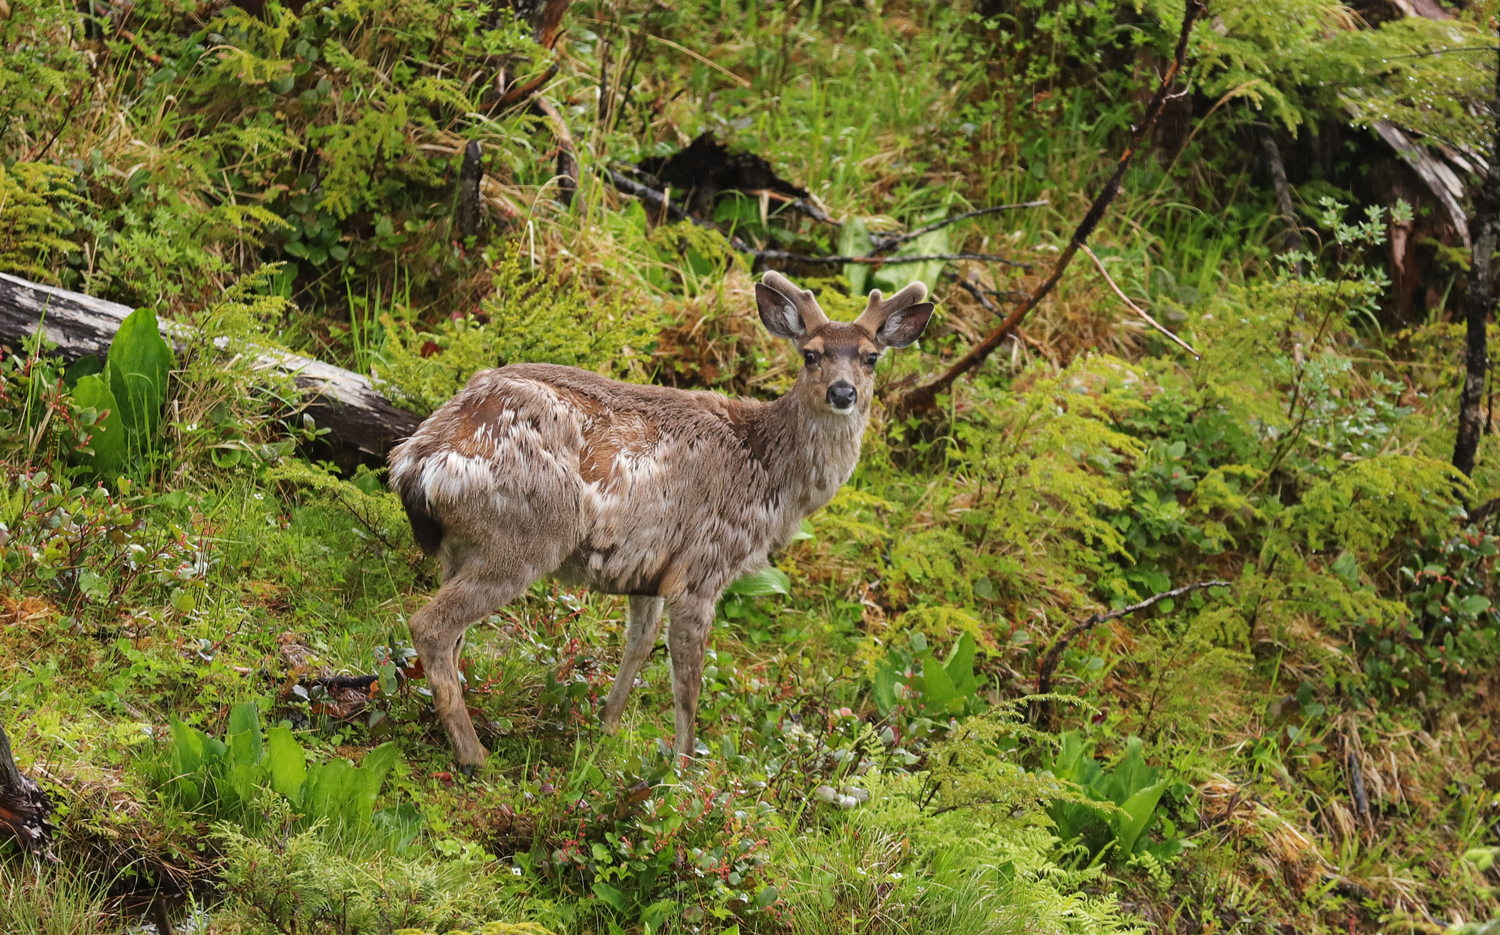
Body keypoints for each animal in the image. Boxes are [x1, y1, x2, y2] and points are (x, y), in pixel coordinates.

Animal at [390, 270, 924, 774]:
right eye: (811, 354)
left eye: (871, 357)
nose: (843, 391)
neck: (767, 474)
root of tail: (419, 460)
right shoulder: (703, 566)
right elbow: (688, 681)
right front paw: (684, 770)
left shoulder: (644, 567)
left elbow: (639, 644)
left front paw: (605, 729)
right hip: (526, 535)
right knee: (430, 625)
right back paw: (474, 756)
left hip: (464, 548)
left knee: (453, 636)